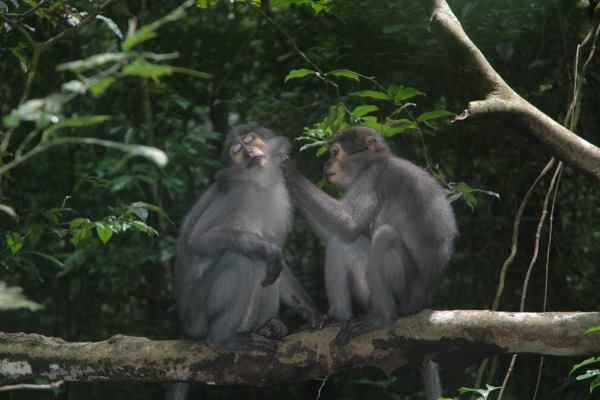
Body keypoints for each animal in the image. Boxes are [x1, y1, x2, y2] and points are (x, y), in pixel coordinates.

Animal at [278, 126, 458, 400]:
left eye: (334, 152)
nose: (326, 164)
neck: (378, 161)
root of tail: (423, 304)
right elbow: (337, 231)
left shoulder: (370, 178)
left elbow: (347, 224)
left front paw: (289, 172)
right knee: (342, 240)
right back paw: (336, 318)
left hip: (405, 294)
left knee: (382, 236)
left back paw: (381, 317)